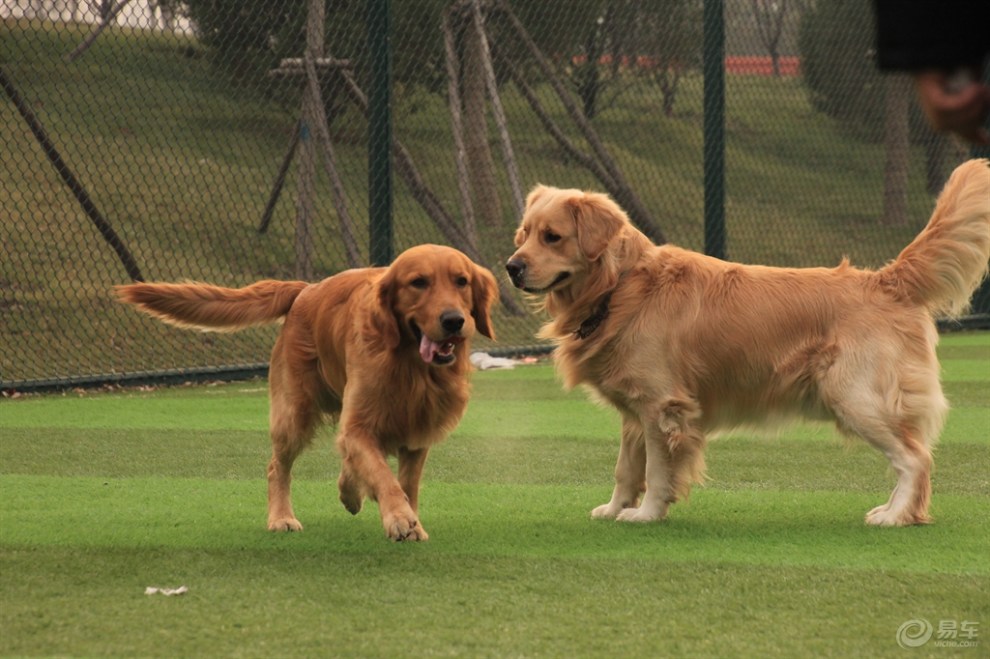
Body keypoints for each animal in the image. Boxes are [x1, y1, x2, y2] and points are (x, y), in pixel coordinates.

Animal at [118, 244, 496, 540]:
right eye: (418, 283)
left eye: (461, 281)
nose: (454, 320)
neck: (410, 368)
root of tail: (305, 288)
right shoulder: (359, 424)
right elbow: (383, 475)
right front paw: (399, 518)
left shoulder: (417, 432)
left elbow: (404, 482)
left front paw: (405, 516)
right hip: (293, 414)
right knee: (277, 467)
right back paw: (282, 517)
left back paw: (350, 493)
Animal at [508, 159, 990, 524]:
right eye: (524, 234)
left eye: (552, 236)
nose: (512, 267)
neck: (620, 287)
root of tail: (886, 279)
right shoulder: (635, 410)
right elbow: (626, 468)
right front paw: (613, 509)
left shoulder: (663, 406)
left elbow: (659, 470)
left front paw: (646, 515)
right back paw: (899, 512)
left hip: (855, 397)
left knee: (915, 457)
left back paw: (894, 517)